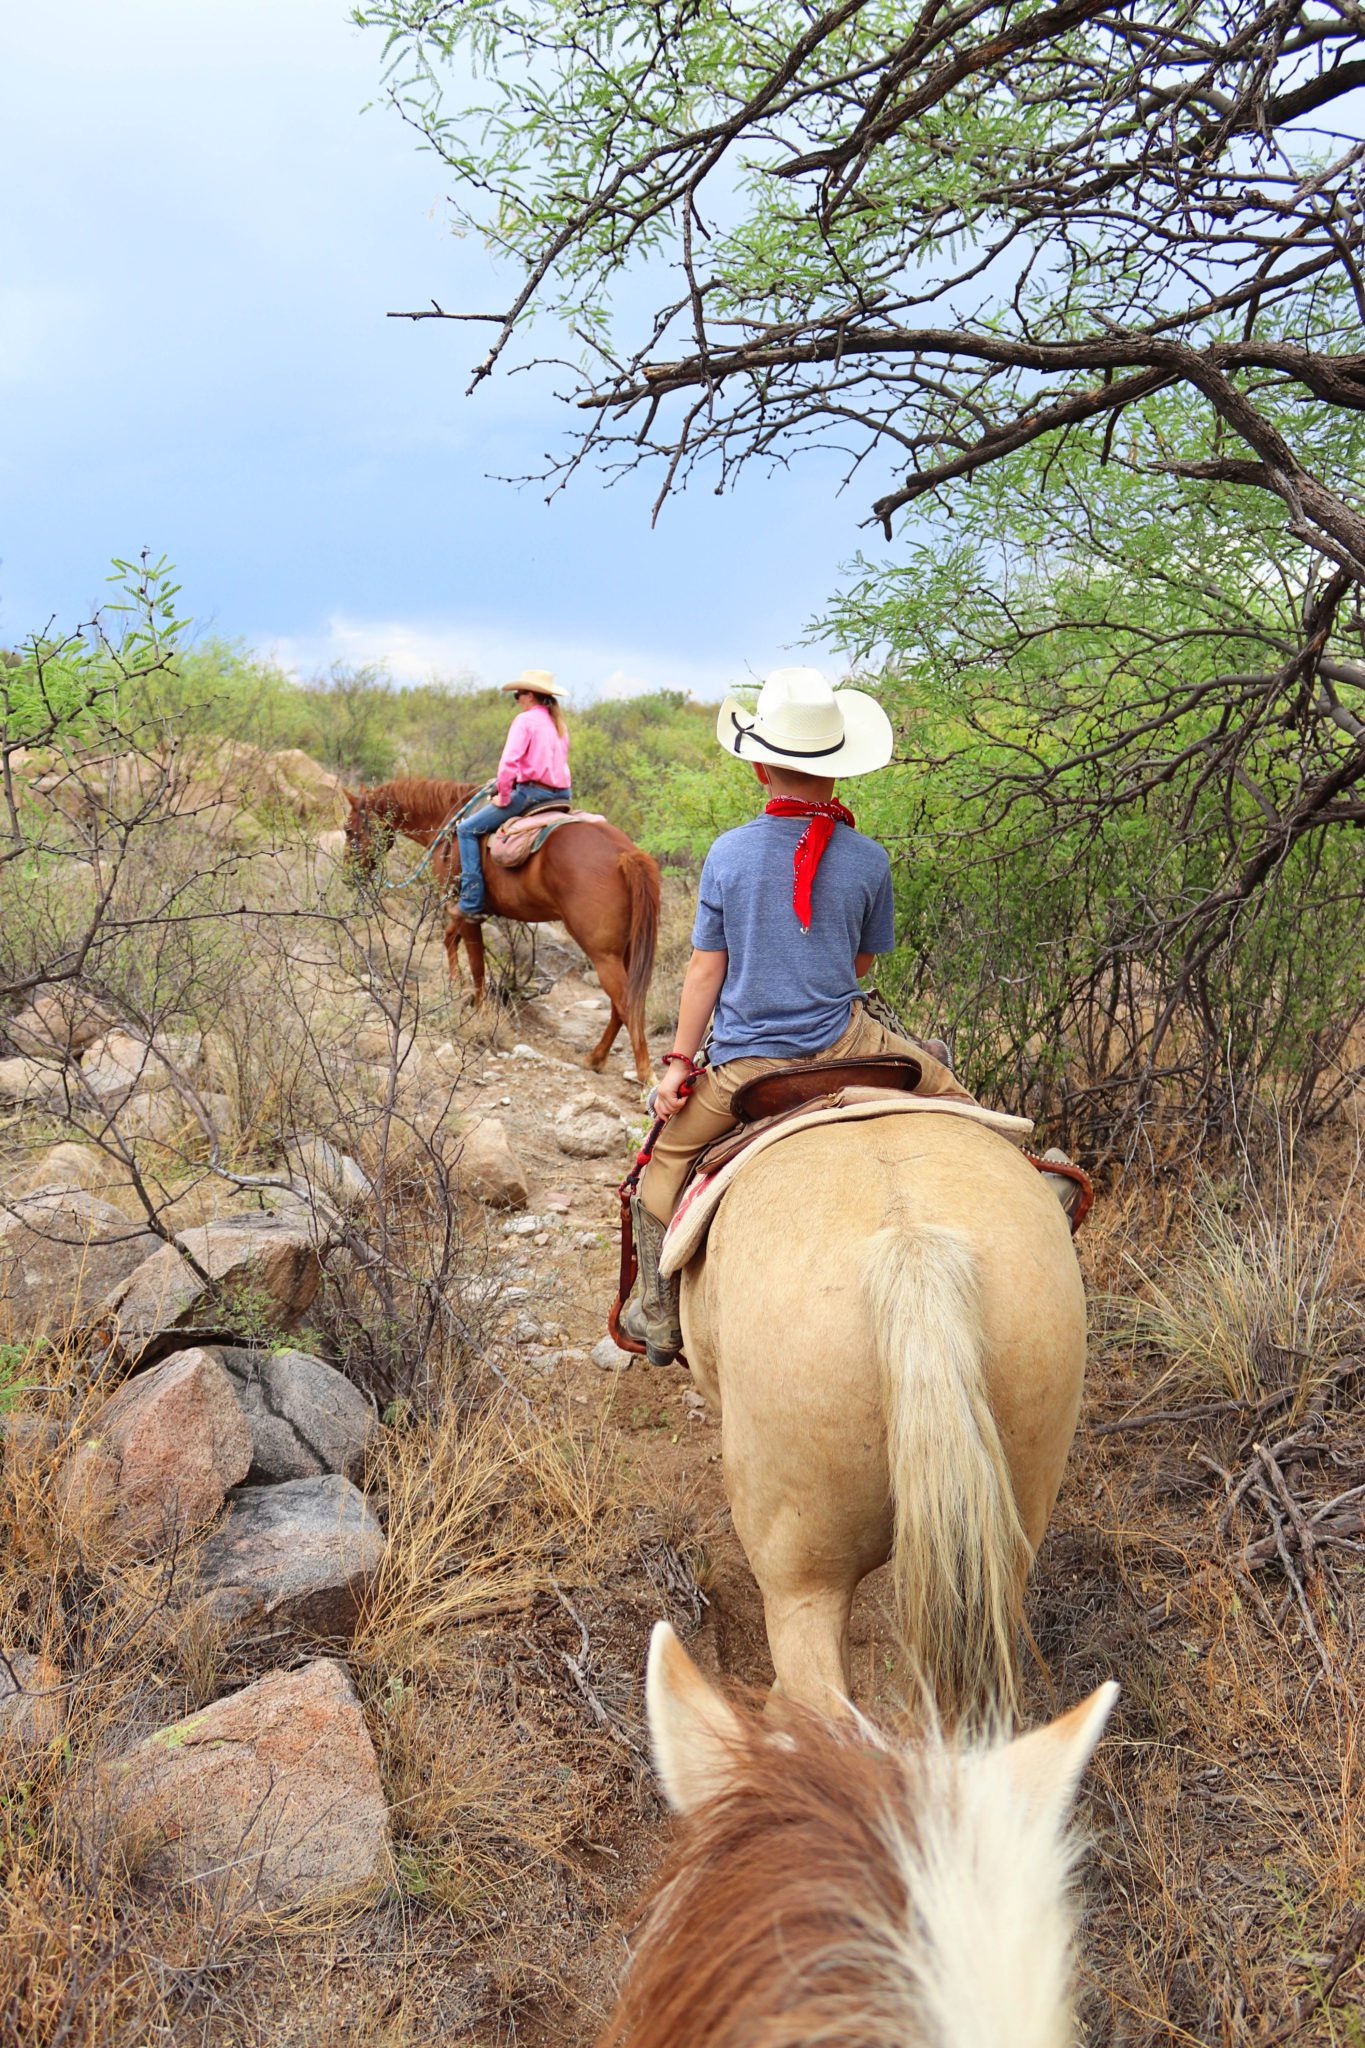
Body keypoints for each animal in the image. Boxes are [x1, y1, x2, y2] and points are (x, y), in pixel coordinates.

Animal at [343, 770, 658, 1089]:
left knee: (627, 1003)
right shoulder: (465, 911)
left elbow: (477, 965)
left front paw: (478, 1012)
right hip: (624, 951)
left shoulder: (469, 913)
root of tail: (626, 854)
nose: (348, 876)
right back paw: (595, 1058)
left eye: (347, 829)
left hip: (602, 952)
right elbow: (450, 940)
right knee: (621, 1005)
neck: (449, 822)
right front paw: (455, 985)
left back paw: (645, 1074)